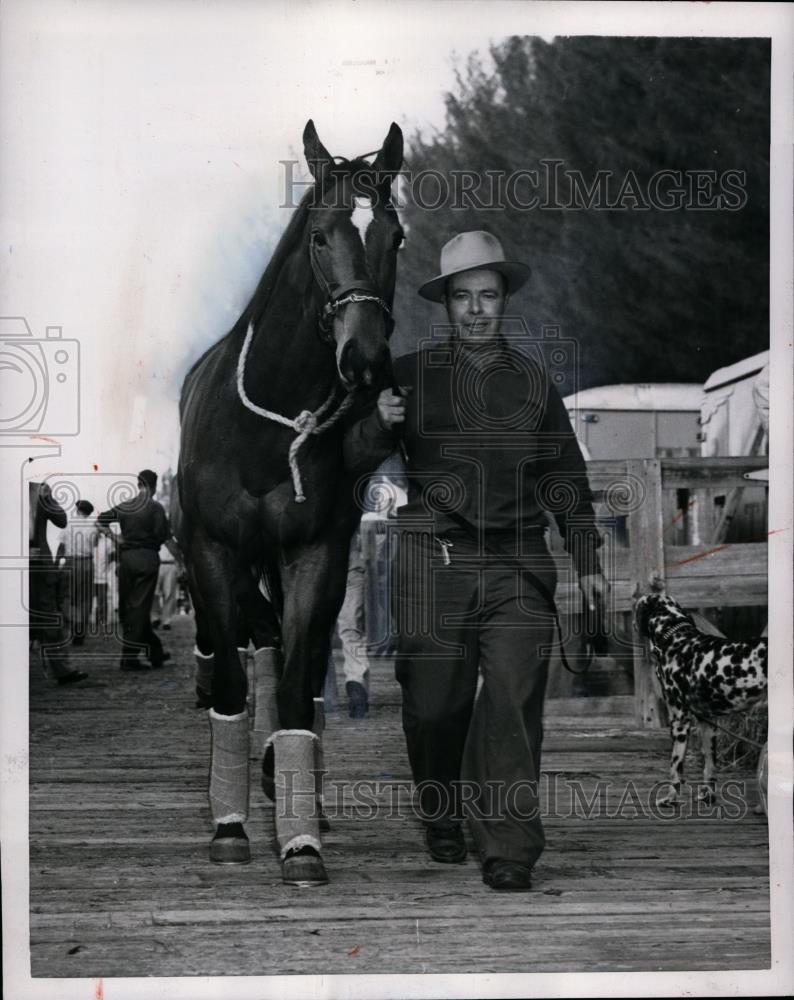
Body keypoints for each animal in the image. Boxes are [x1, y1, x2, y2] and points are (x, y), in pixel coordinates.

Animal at [175, 123, 402, 884]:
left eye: (395, 235)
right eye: (321, 236)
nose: (364, 360)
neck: (274, 425)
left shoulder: (317, 550)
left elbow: (303, 679)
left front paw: (301, 840)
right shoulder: (212, 549)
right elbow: (233, 681)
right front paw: (229, 827)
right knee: (260, 638)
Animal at [636, 592, 764, 804]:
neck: (679, 640)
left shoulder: (679, 720)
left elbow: (675, 767)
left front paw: (671, 798)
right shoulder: (708, 721)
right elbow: (710, 765)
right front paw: (707, 794)